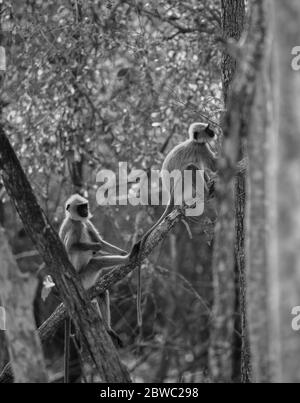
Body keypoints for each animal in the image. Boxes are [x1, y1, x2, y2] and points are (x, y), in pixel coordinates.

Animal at [135, 122, 218, 328]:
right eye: (208, 129)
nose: (213, 132)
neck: (193, 141)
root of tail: (171, 194)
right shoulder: (201, 148)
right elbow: (214, 164)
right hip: (182, 186)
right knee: (192, 168)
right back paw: (206, 192)